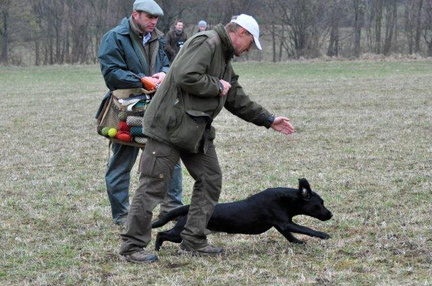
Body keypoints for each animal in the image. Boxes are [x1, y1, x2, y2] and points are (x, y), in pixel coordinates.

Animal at [153, 179, 334, 250]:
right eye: (320, 203)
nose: (330, 215)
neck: (285, 199)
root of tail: (188, 208)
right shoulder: (285, 223)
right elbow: (307, 229)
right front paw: (323, 235)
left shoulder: (281, 226)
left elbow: (290, 236)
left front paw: (298, 242)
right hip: (180, 233)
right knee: (161, 234)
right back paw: (157, 249)